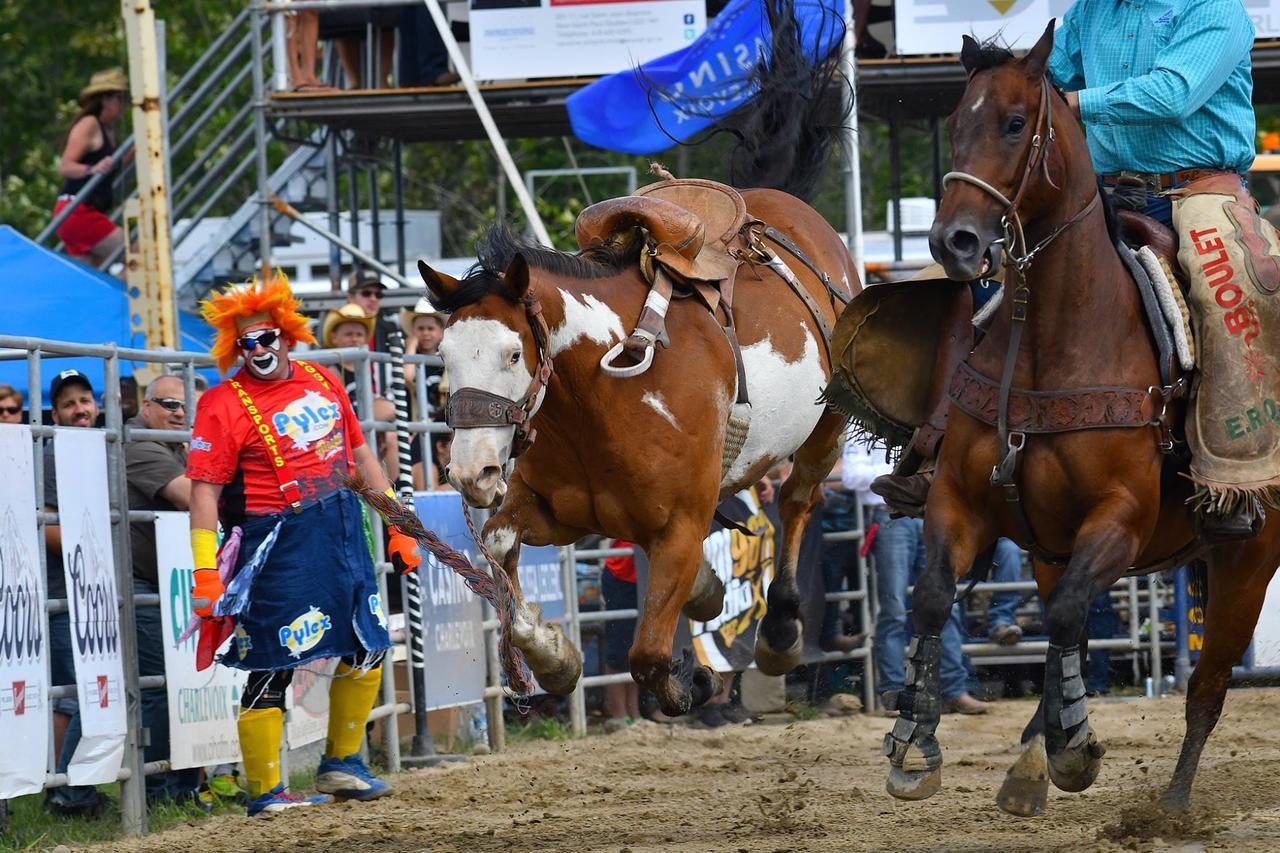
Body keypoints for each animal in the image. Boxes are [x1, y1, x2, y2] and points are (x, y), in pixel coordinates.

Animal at [422, 201, 860, 712]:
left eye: (513, 355)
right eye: (444, 355)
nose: (472, 472)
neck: (604, 389)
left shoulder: (681, 529)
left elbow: (648, 656)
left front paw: (694, 680)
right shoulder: (562, 515)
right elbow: (497, 542)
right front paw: (553, 658)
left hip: (827, 429)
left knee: (798, 499)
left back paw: (780, 630)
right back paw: (708, 590)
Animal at [860, 23, 1280, 814]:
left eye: (1015, 123)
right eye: (956, 122)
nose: (954, 242)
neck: (1050, 343)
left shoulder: (1120, 517)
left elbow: (1064, 623)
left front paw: (1076, 747)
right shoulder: (966, 506)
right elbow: (934, 598)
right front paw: (913, 745)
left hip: (1249, 556)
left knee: (1207, 686)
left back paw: (1170, 807)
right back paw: (1031, 761)